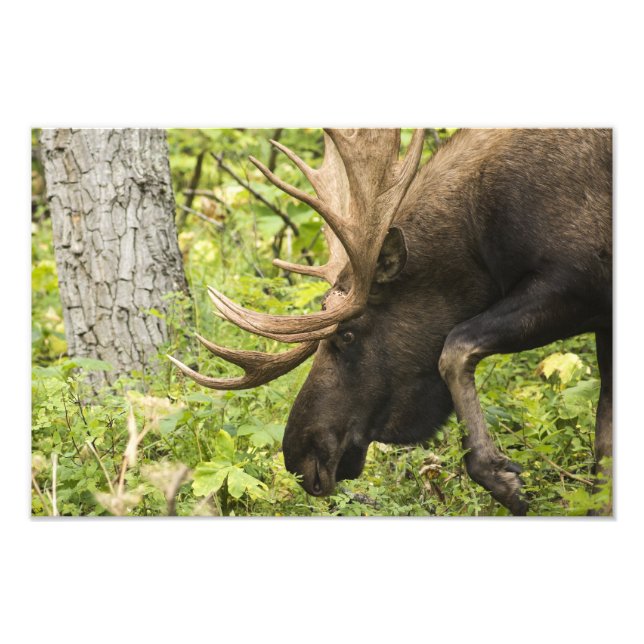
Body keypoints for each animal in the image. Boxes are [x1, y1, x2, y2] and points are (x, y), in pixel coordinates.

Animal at [168, 128, 612, 516]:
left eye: (346, 335)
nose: (300, 455)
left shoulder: (578, 282)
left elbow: (455, 346)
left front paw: (504, 479)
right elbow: (604, 447)